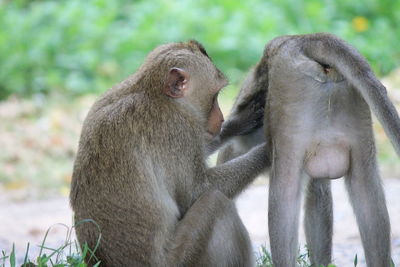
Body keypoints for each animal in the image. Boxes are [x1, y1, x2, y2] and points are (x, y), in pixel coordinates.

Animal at [69, 40, 268, 267]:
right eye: (215, 96)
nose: (221, 119)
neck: (153, 92)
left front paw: (240, 121)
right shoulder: (178, 128)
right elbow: (197, 192)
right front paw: (267, 151)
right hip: (184, 257)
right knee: (215, 201)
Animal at [222, 33, 400, 267]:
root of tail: (306, 39)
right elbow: (319, 191)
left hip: (289, 90)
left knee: (285, 187)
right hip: (350, 101)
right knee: (366, 192)